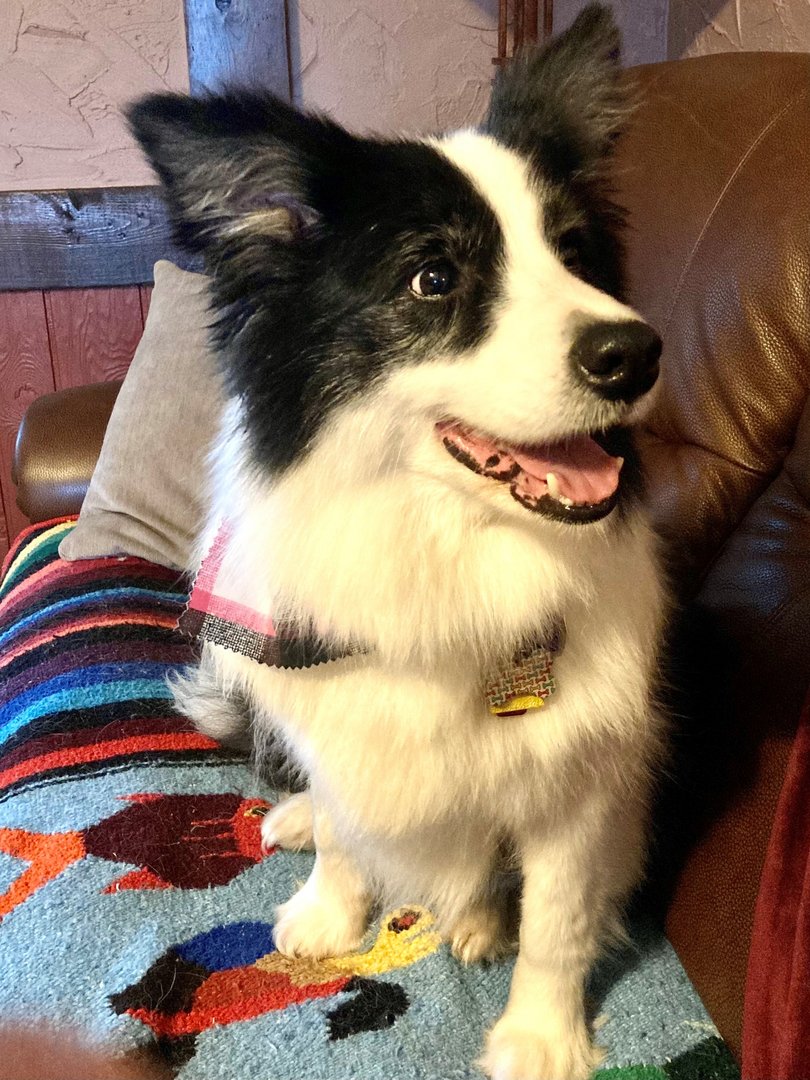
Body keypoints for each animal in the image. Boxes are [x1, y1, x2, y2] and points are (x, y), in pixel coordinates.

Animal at [131, 4, 665, 1075]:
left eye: (578, 254)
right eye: (434, 276)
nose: (636, 354)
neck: (444, 547)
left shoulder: (584, 774)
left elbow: (557, 915)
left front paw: (540, 1040)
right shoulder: (336, 697)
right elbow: (347, 824)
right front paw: (331, 917)